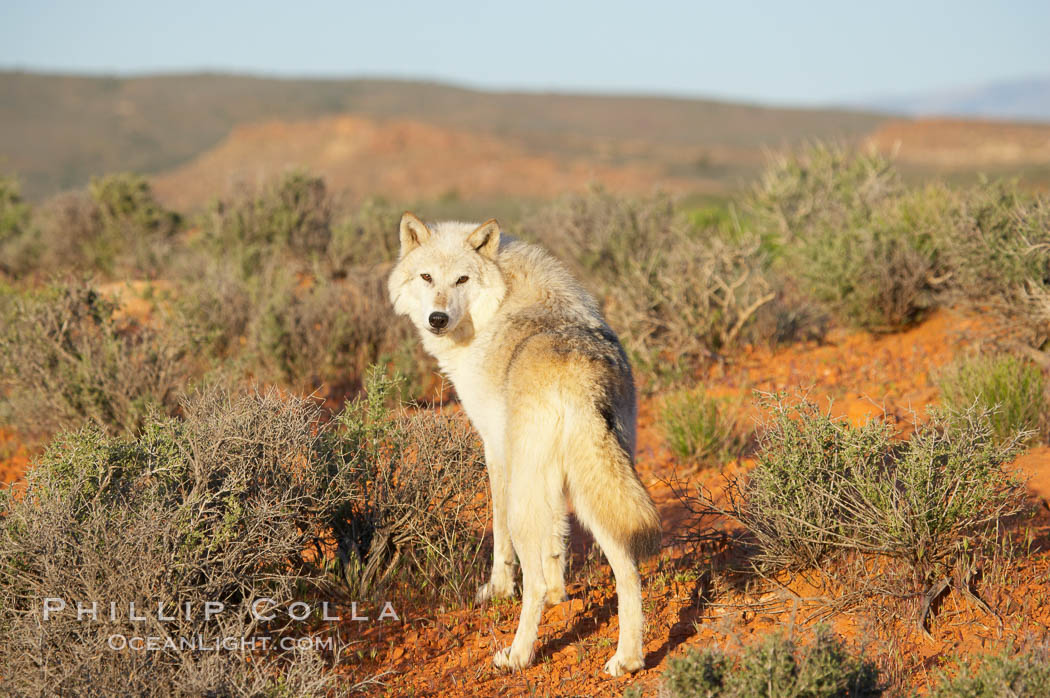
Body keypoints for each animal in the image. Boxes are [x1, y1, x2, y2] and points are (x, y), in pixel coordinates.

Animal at [390, 214, 659, 675]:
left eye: (461, 279)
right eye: (426, 277)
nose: (437, 318)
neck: (498, 299)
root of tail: (578, 377)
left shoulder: (496, 451)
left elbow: (500, 539)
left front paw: (497, 589)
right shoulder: (552, 487)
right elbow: (557, 542)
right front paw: (559, 595)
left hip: (529, 497)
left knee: (530, 579)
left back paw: (517, 655)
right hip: (595, 491)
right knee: (627, 570)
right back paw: (627, 659)